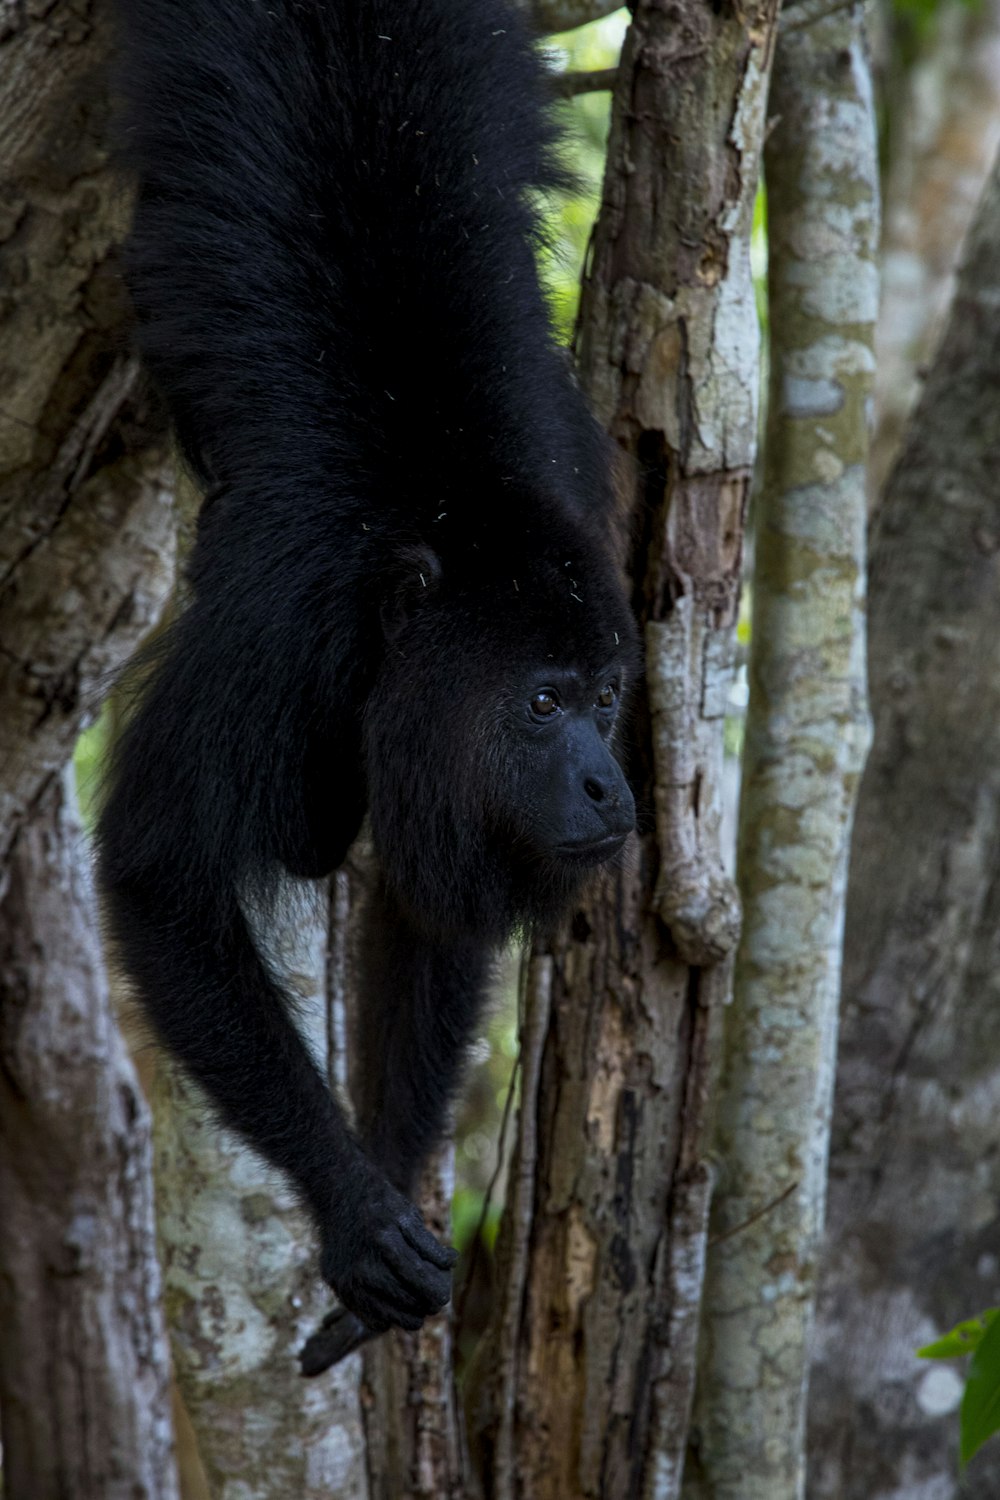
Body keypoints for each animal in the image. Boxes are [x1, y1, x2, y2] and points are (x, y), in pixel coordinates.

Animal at [99, 0, 632, 1374]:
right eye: (541, 704)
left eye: (609, 697)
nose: (612, 788)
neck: (442, 528)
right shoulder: (280, 623)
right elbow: (160, 868)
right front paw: (350, 1209)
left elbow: (432, 909)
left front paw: (389, 1178)